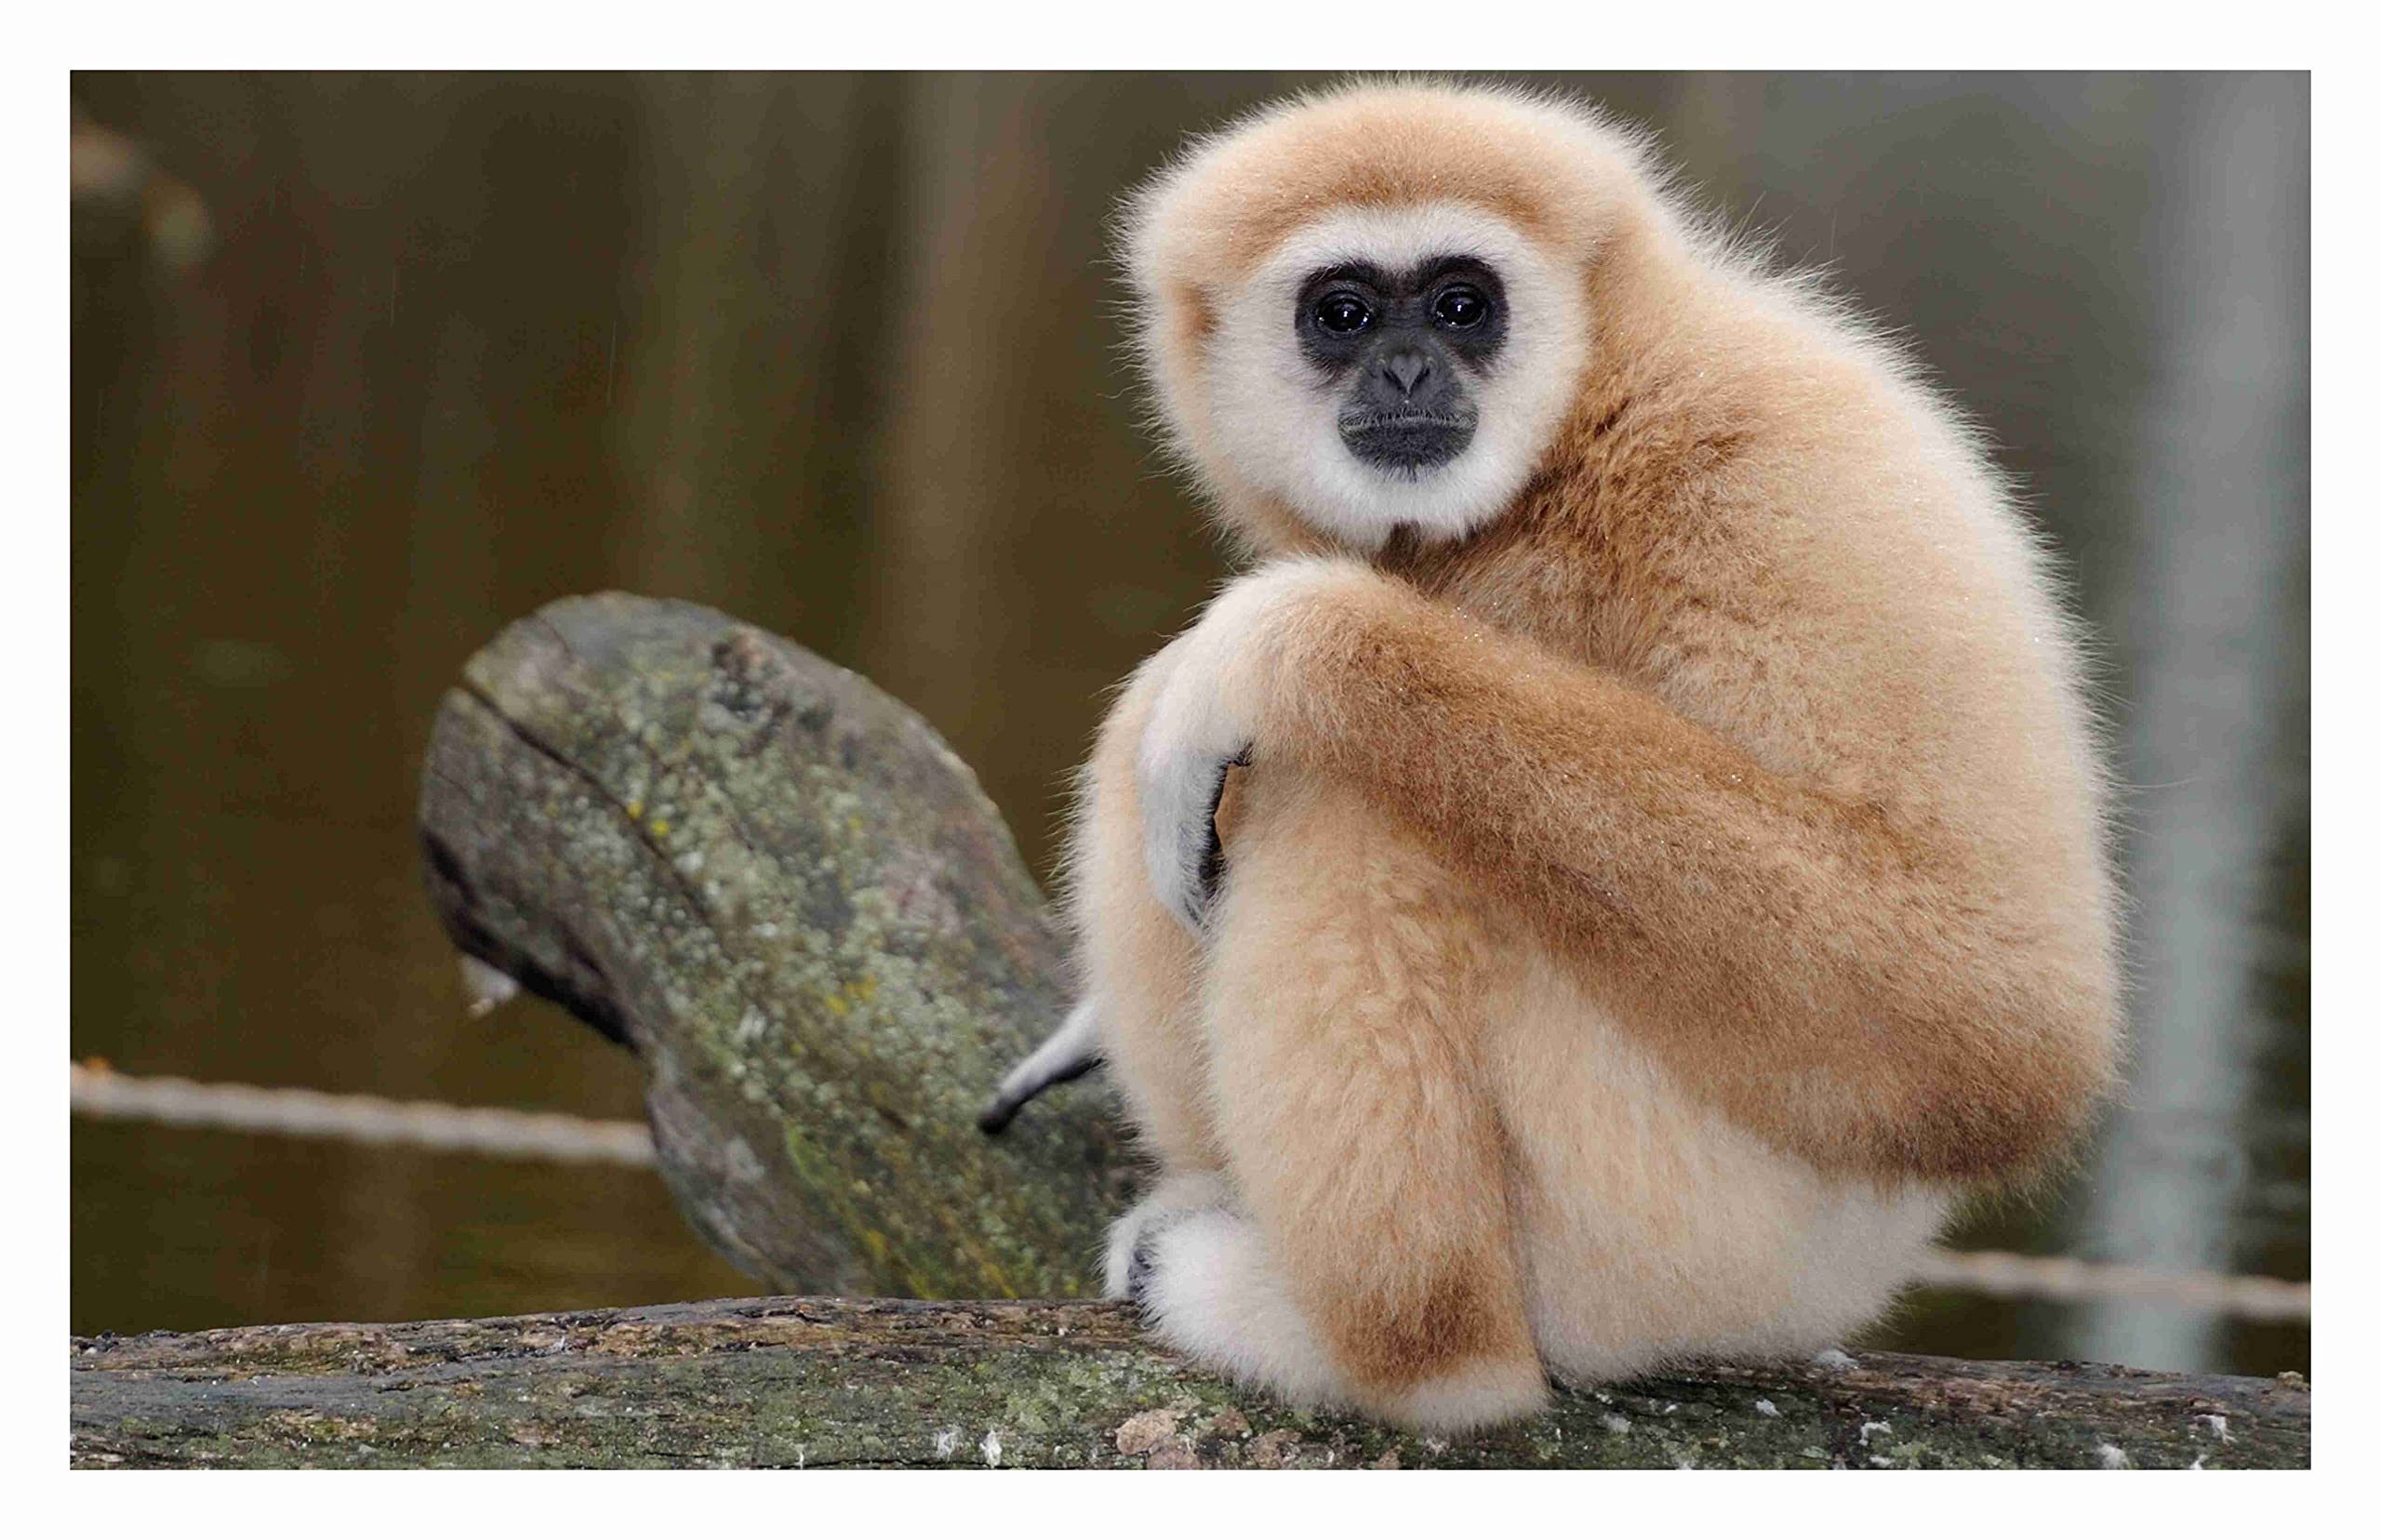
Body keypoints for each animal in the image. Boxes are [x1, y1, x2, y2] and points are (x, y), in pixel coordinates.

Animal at [986, 81, 2121, 1434]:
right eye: (1344, 312)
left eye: (1463, 305)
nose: (1407, 365)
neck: (1574, 438)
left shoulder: (1782, 466)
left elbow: (1992, 1020)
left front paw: (1286, 639)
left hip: (1671, 1230)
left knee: (1335, 796)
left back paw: (1402, 1359)